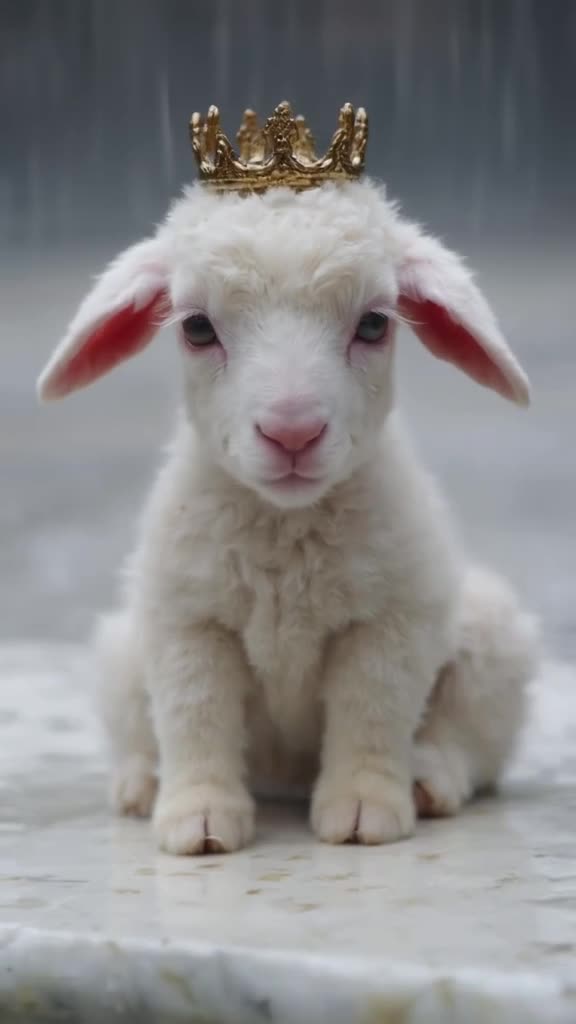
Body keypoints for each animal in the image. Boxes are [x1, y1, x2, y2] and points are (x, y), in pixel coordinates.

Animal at [37, 178, 539, 855]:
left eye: (374, 323)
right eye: (197, 328)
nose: (292, 431)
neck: (286, 529)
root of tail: (286, 776)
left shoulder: (390, 622)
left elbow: (371, 712)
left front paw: (363, 813)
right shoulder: (186, 623)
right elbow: (195, 718)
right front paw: (198, 822)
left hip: (492, 638)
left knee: (470, 740)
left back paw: (429, 780)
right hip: (120, 655)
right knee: (141, 733)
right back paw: (141, 786)